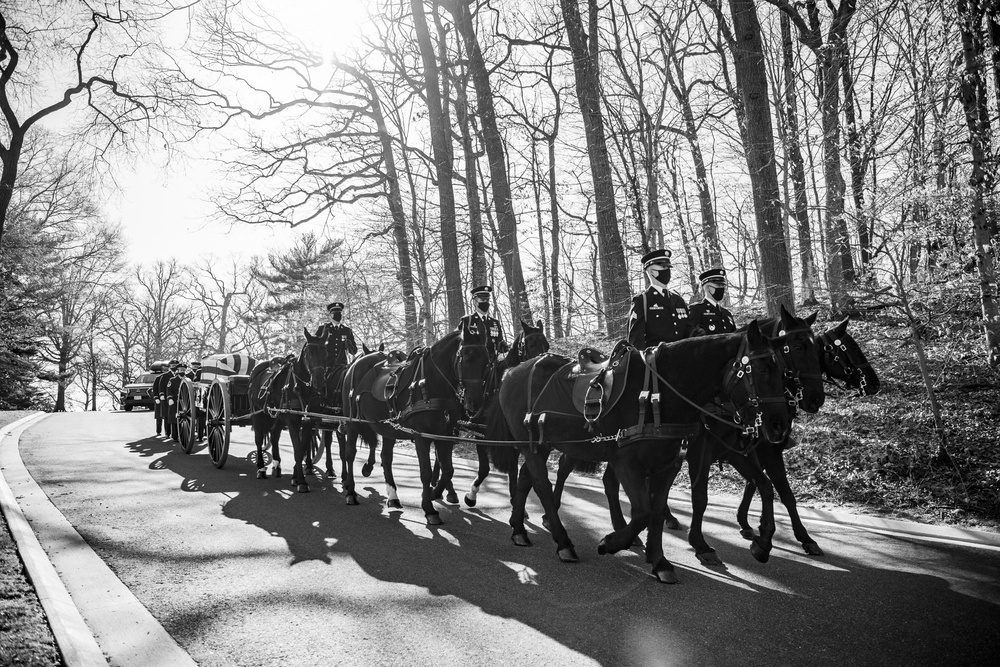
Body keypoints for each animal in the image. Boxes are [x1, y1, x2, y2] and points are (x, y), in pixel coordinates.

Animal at [344, 320, 492, 524]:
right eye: (466, 358)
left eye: (487, 361)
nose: (475, 402)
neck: (431, 382)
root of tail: (357, 362)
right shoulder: (422, 436)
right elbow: (426, 472)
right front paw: (429, 508)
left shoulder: (445, 435)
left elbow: (448, 469)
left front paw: (435, 494)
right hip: (352, 422)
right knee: (350, 453)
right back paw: (350, 491)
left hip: (388, 427)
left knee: (386, 458)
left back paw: (393, 496)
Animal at [488, 324, 792, 584]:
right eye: (762, 368)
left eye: (783, 370)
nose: (780, 425)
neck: (658, 393)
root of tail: (511, 372)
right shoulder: (628, 463)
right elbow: (644, 512)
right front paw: (610, 543)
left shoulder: (668, 465)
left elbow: (656, 511)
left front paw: (659, 560)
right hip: (533, 446)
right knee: (541, 483)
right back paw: (563, 542)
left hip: (541, 444)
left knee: (526, 479)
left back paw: (519, 528)